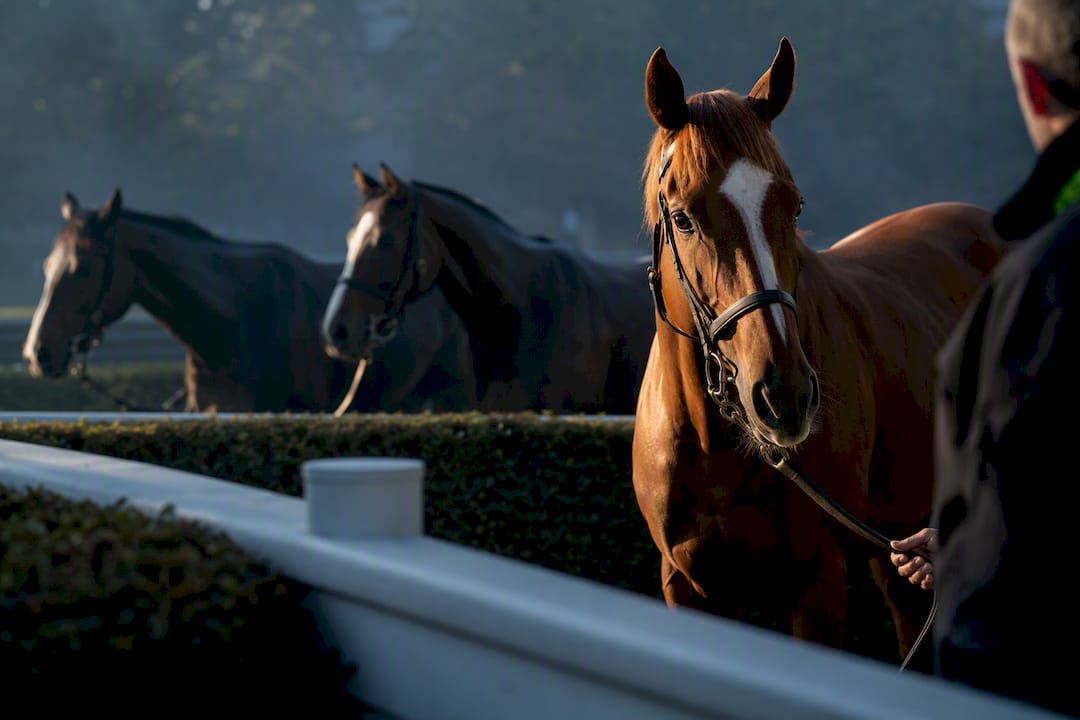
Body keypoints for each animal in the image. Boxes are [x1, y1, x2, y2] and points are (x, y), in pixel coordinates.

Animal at [631, 37, 1008, 666]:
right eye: (682, 217)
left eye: (795, 205)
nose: (784, 396)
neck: (715, 445)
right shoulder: (688, 583)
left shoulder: (818, 583)